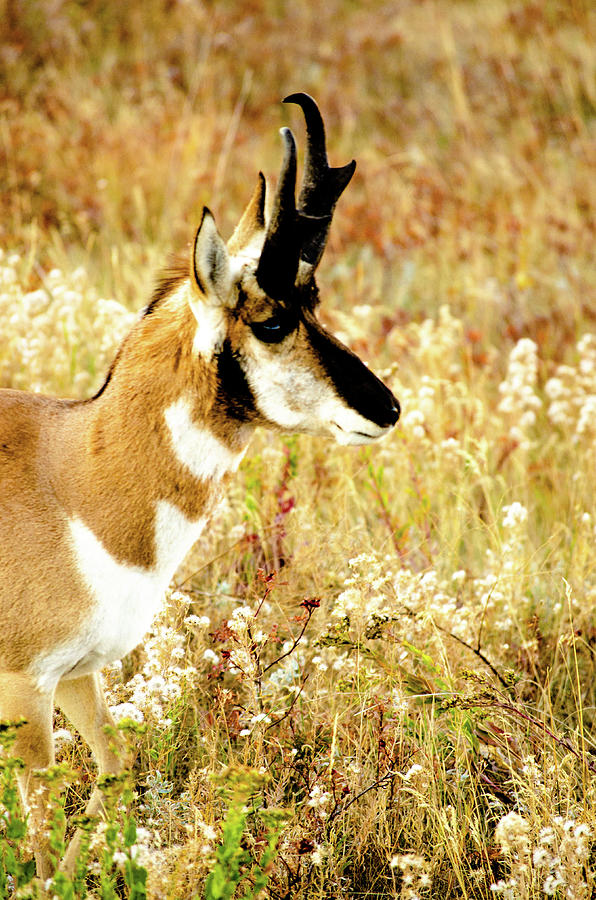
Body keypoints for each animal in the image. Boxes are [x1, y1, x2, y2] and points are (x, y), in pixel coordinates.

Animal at [1, 95, 400, 876]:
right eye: (271, 320)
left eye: (314, 297)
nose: (387, 408)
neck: (71, 479)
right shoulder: (25, 686)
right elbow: (41, 843)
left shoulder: (79, 674)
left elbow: (115, 778)